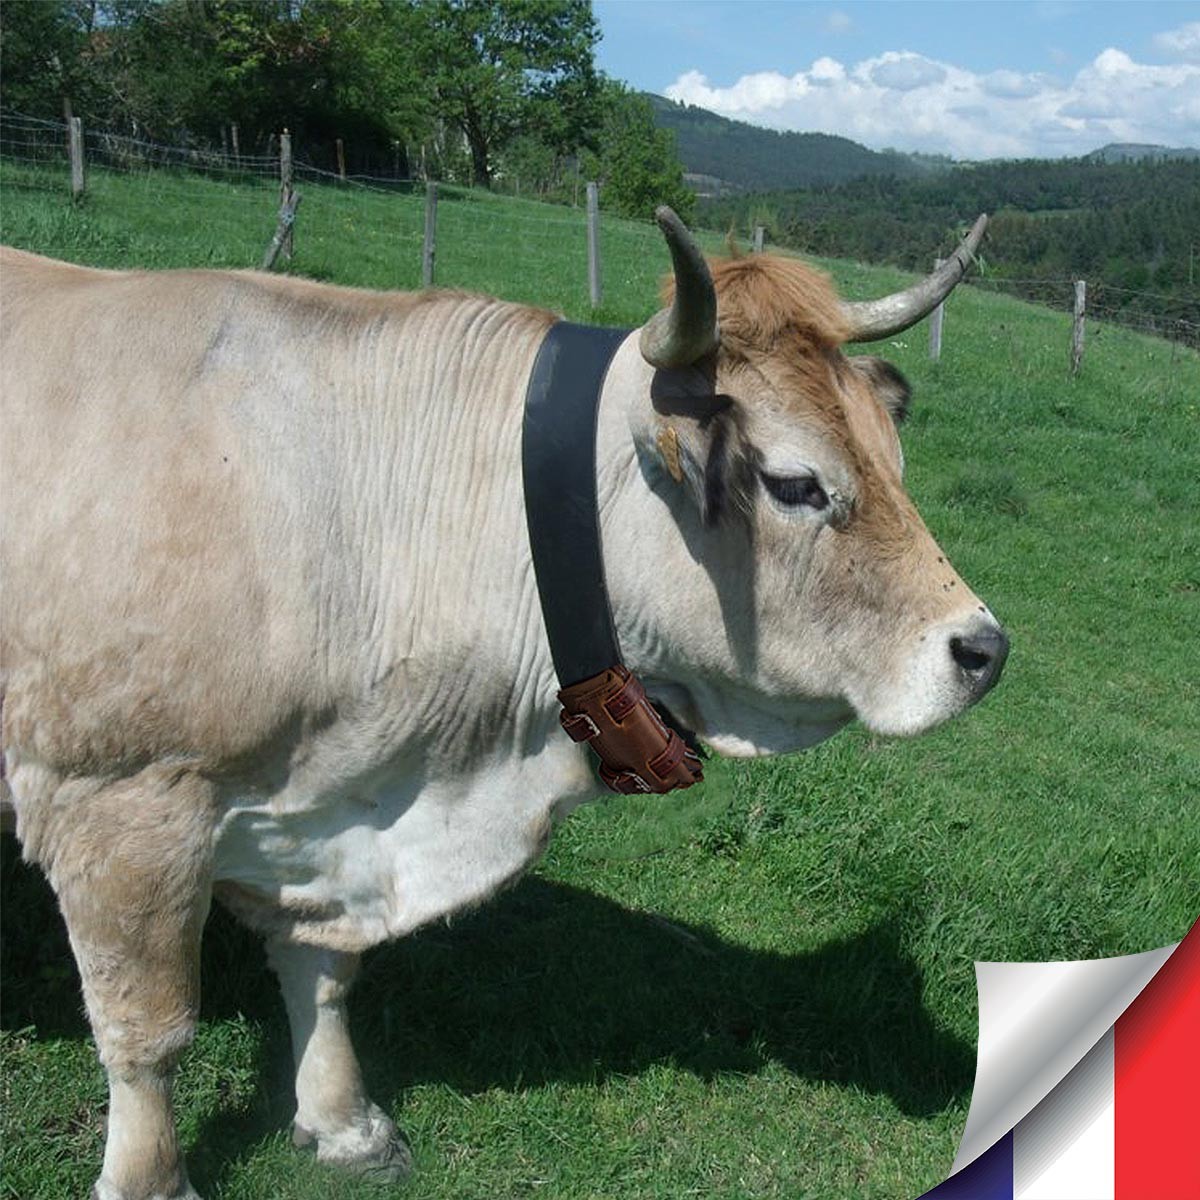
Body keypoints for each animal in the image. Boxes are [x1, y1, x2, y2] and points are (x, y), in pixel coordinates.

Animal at [0, 208, 1006, 1200]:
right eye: (796, 484)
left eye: (894, 459)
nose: (984, 651)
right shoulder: (121, 804)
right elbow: (149, 1031)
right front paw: (151, 1179)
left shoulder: (324, 817)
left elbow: (322, 968)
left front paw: (342, 1118)